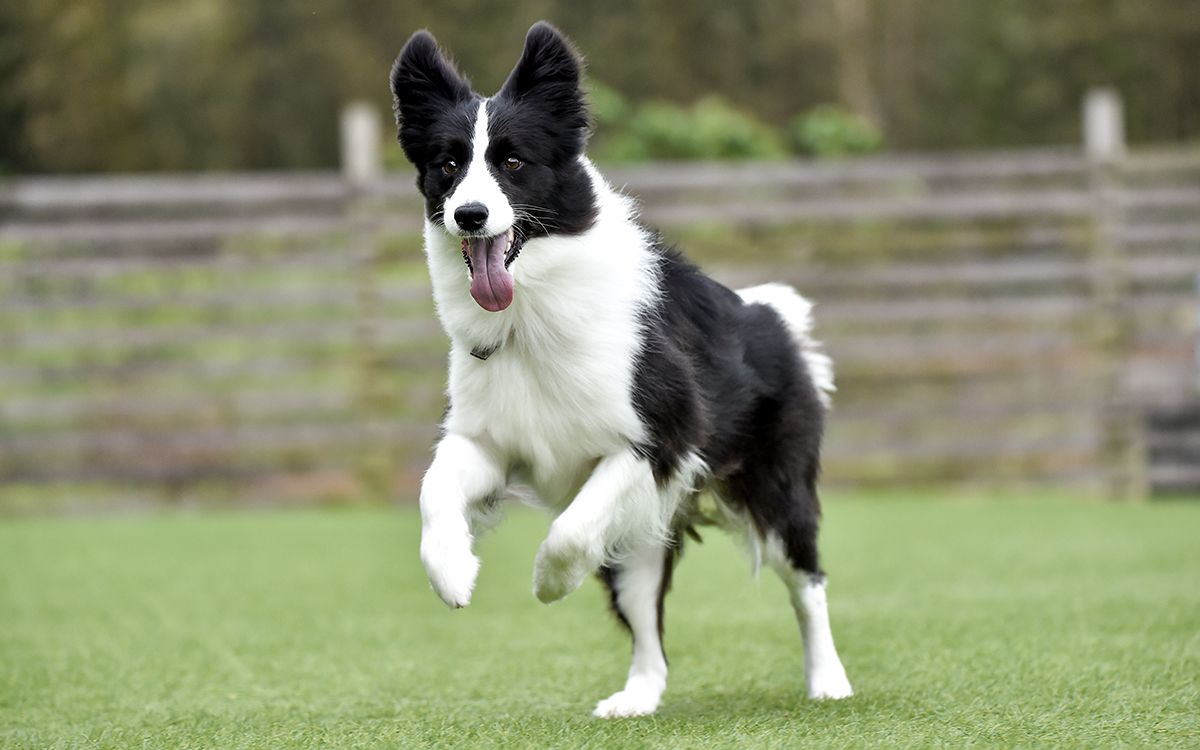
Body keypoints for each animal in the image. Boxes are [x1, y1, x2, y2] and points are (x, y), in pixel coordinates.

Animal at [388, 20, 849, 715]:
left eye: (512, 163)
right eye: (448, 164)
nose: (469, 214)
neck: (532, 316)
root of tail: (772, 314)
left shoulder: (657, 440)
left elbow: (571, 532)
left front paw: (549, 583)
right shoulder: (488, 438)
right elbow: (433, 489)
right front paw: (453, 573)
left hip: (776, 491)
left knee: (808, 584)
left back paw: (828, 682)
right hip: (643, 534)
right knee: (646, 622)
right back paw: (635, 699)